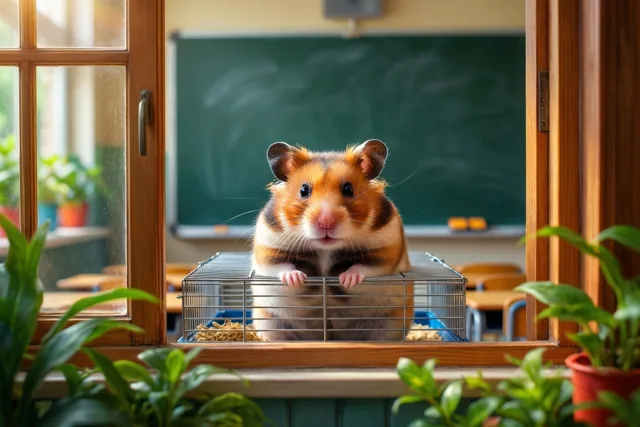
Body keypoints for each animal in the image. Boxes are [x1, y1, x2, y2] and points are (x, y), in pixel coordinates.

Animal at [250, 139, 413, 342]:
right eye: (304, 190)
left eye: (348, 189)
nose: (326, 222)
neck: (325, 249)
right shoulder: (267, 247)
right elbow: (280, 266)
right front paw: (297, 278)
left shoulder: (386, 250)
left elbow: (366, 267)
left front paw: (347, 279)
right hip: (271, 323)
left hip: (389, 324)